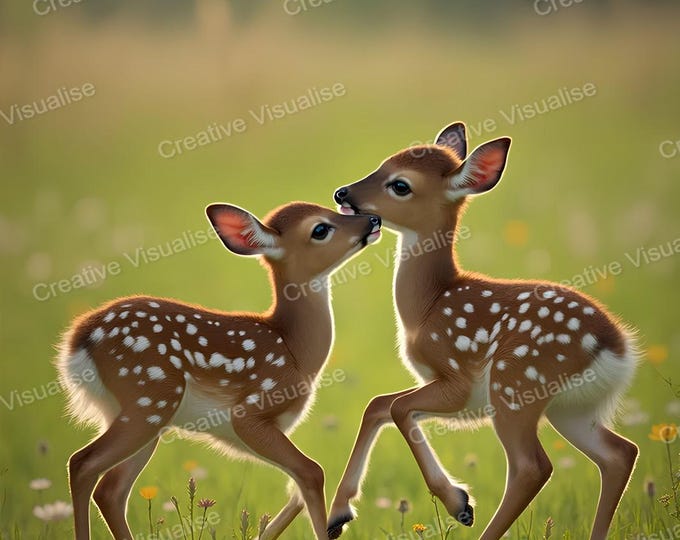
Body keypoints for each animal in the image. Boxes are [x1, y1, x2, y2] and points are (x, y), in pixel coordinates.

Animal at [56, 201, 381, 540]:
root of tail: (78, 341)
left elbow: (295, 490)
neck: (294, 351)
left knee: (111, 489)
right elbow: (311, 471)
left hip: (139, 415)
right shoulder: (250, 413)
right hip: (149, 399)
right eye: (320, 229)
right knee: (83, 464)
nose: (373, 220)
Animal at [328, 122, 639, 540]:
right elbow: (378, 405)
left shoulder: (458, 382)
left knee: (532, 467)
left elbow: (395, 407)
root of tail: (617, 348)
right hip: (570, 408)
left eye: (400, 185)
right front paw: (338, 515)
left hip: (516, 385)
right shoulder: (456, 394)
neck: (428, 306)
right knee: (619, 453)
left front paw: (458, 502)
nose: (343, 193)